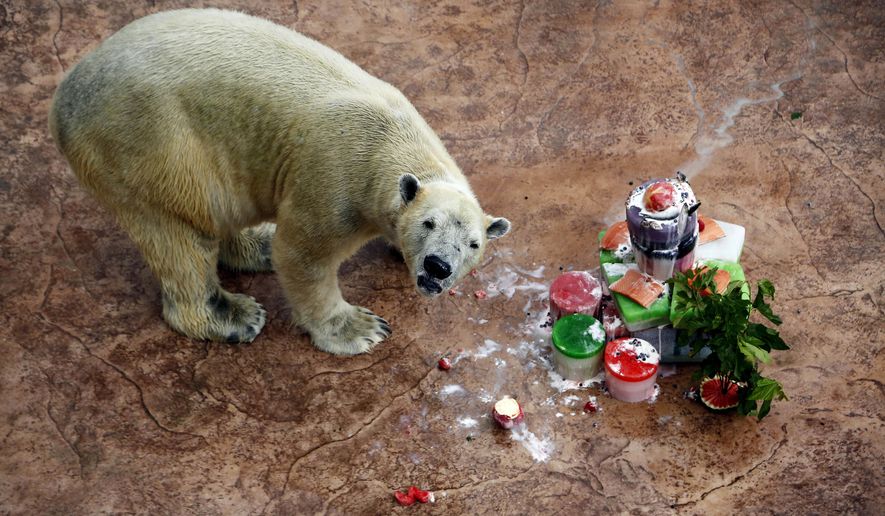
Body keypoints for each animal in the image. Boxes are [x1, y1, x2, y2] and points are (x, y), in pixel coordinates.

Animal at [49, 8, 511, 355]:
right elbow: (304, 254)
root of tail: (63, 98)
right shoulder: (336, 176)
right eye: (427, 224)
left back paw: (258, 243)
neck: (392, 137)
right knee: (179, 230)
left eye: (473, 245)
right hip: (149, 146)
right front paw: (361, 328)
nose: (437, 266)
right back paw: (235, 315)